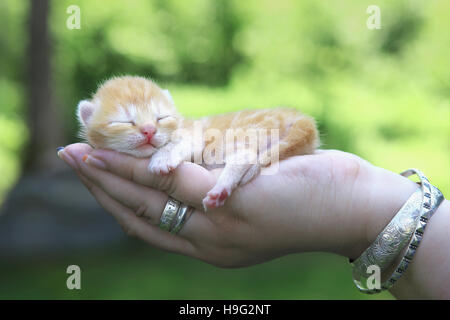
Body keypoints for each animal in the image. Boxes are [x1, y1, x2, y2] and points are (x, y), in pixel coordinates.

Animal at [76, 75, 320, 210]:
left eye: (160, 118)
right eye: (124, 121)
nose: (149, 130)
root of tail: (297, 116)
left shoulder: (193, 135)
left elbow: (177, 144)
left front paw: (162, 160)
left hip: (237, 136)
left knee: (246, 155)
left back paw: (221, 188)